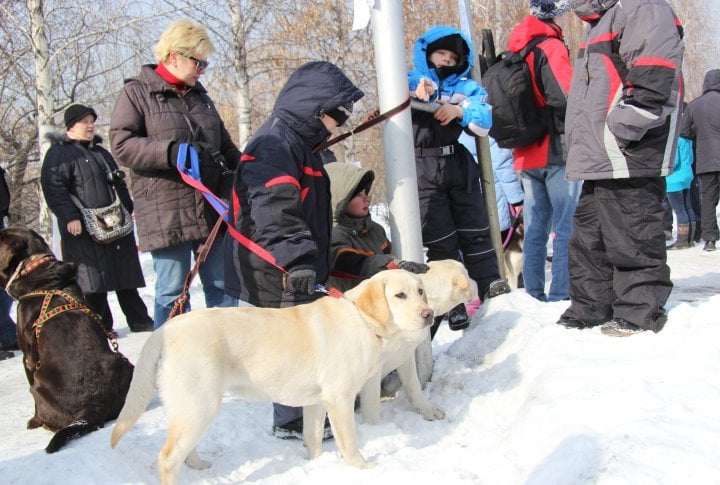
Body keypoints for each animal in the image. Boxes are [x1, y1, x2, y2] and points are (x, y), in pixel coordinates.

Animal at [0, 229, 134, 452]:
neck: (36, 269)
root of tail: (93, 405)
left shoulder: (28, 358)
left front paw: (33, 421)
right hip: (124, 362)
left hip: (37, 386)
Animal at [109, 268, 430, 484]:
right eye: (399, 295)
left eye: (420, 291)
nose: (428, 314)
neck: (363, 319)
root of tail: (165, 329)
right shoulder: (339, 399)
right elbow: (349, 442)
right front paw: (360, 468)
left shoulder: (316, 402)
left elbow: (313, 438)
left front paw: (315, 464)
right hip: (199, 404)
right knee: (167, 457)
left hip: (191, 407)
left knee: (183, 450)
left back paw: (199, 467)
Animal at [358, 260, 478, 422]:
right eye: (468, 274)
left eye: (420, 291)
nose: (477, 283)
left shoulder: (404, 358)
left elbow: (413, 386)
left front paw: (427, 410)